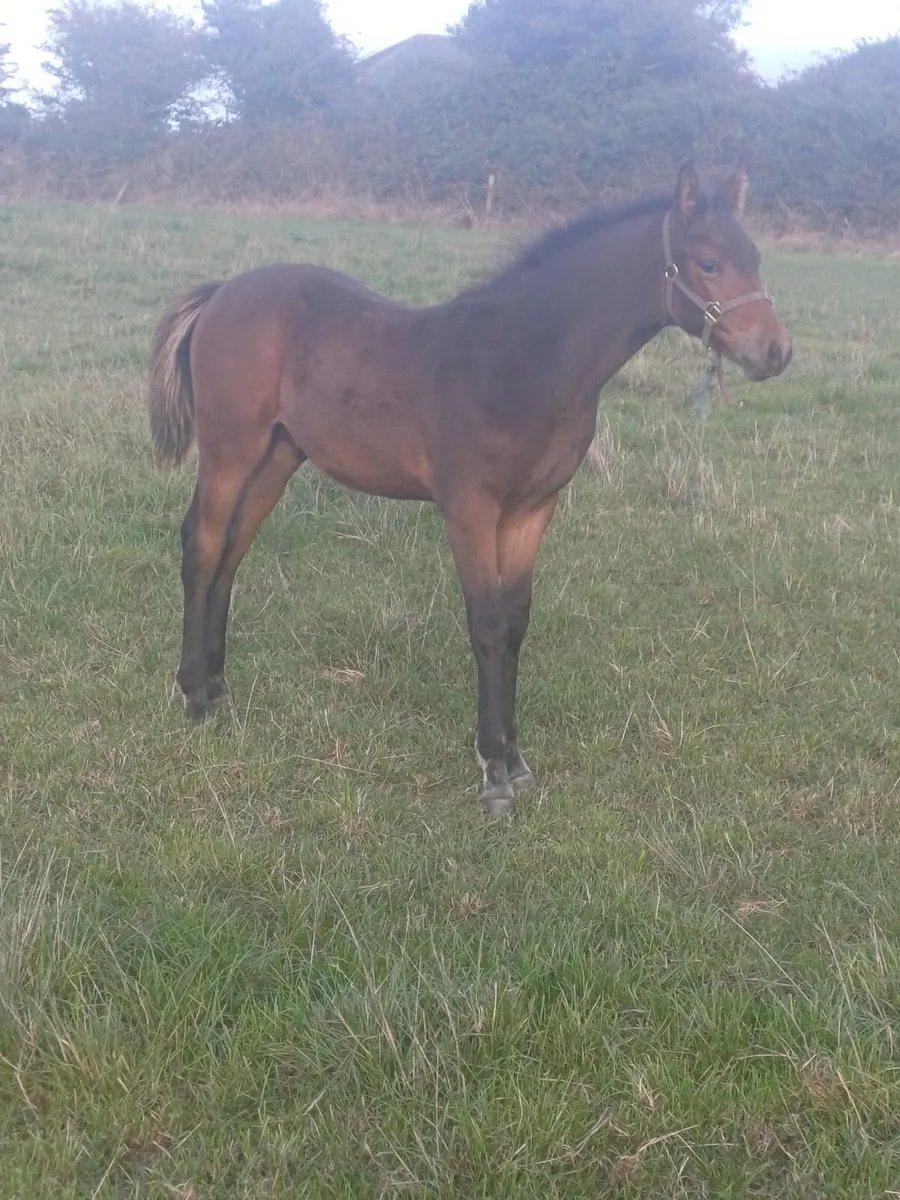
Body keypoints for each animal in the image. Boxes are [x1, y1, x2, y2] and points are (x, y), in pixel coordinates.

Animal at [148, 162, 792, 817]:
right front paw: (493, 771)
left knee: (232, 551)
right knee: (203, 544)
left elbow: (515, 622)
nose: (776, 351)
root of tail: (222, 293)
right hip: (231, 450)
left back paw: (219, 687)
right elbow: (485, 625)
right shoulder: (469, 508)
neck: (525, 360)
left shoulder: (533, 509)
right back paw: (193, 694)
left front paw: (517, 759)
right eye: (708, 262)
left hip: (278, 455)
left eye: (756, 256)